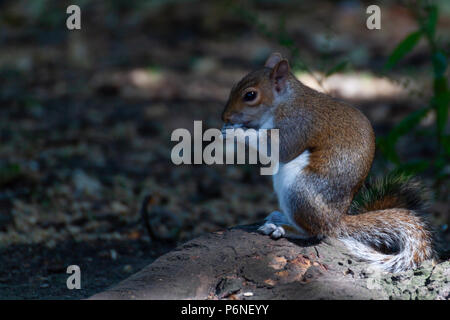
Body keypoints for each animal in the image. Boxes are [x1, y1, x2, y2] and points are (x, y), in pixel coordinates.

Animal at [221, 52, 436, 272]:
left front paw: (237, 132)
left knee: (314, 232)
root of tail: (336, 220)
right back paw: (280, 218)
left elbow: (279, 148)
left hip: (299, 190)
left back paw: (282, 228)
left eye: (250, 95)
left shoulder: (297, 125)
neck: (284, 101)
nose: (225, 116)